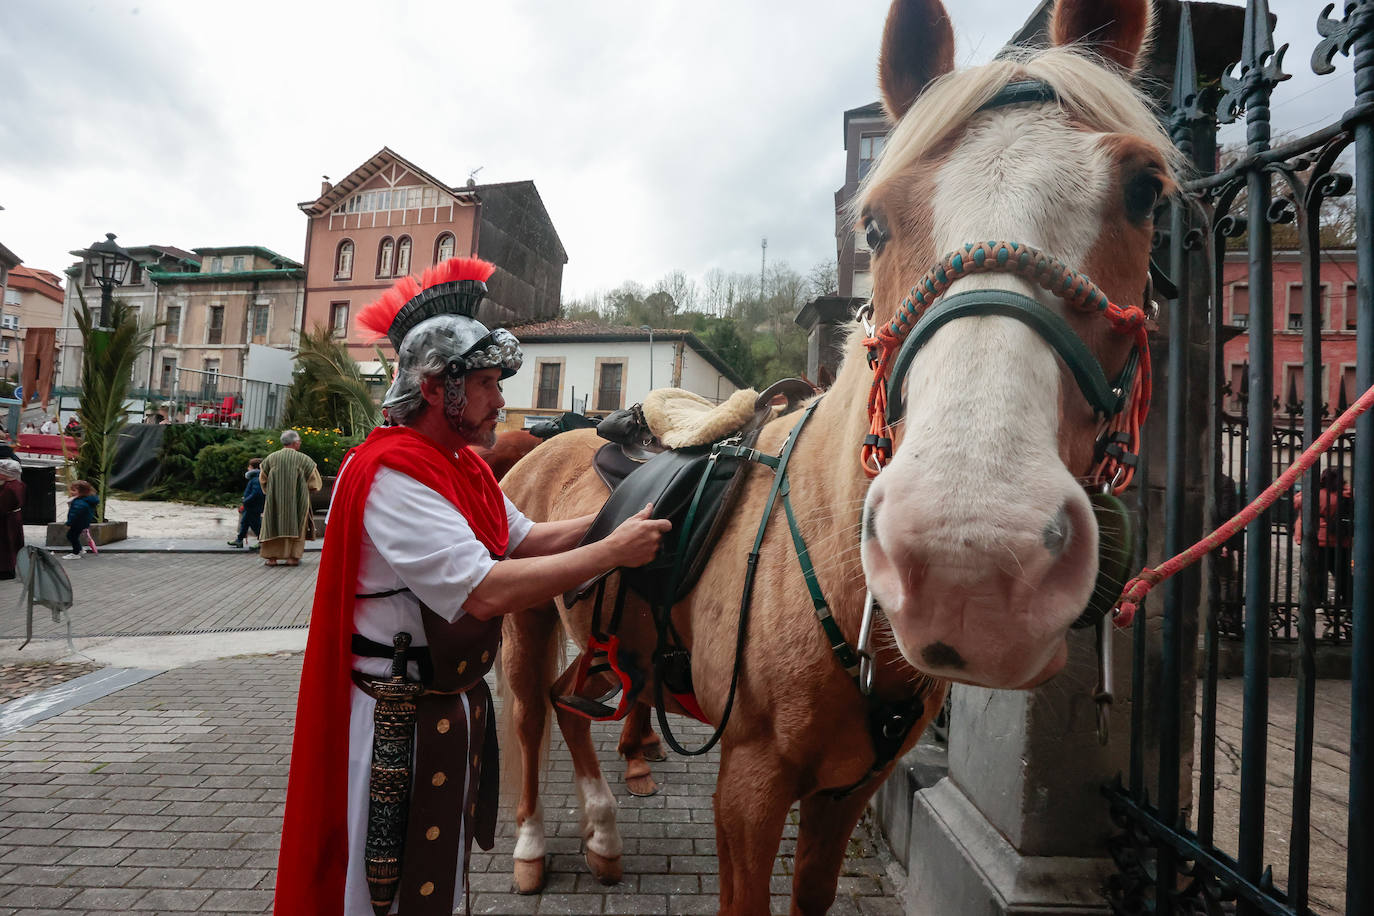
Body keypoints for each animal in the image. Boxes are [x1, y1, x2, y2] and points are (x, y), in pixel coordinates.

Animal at [500, 0, 1176, 911]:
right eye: (876, 222)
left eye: (1144, 192)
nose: (969, 560)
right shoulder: (749, 785)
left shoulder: (847, 792)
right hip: (527, 619)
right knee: (530, 716)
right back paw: (534, 846)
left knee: (572, 708)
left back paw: (604, 833)